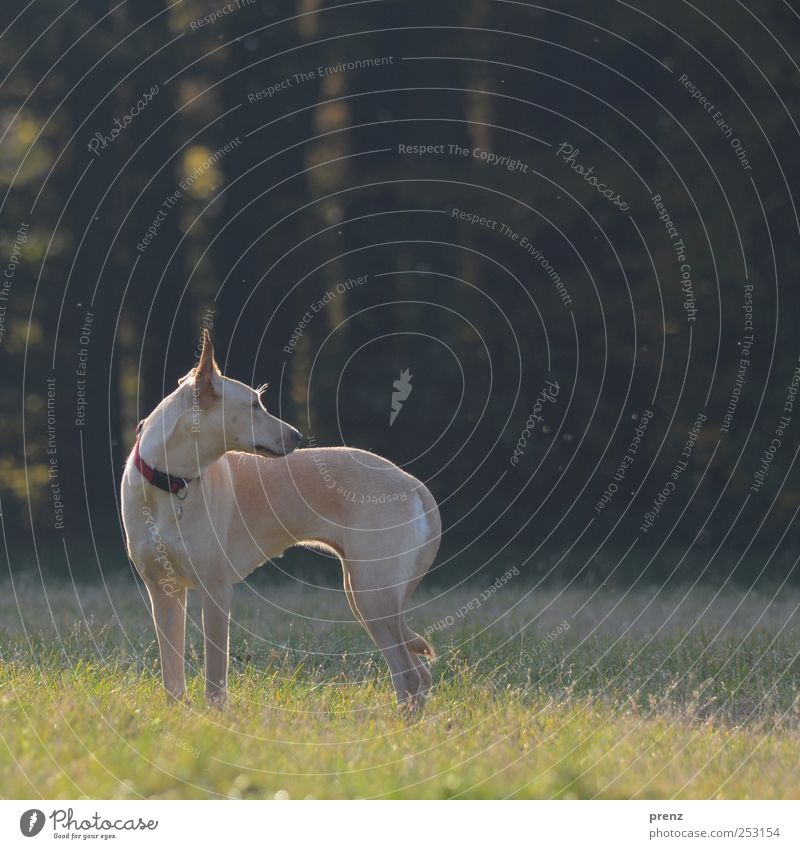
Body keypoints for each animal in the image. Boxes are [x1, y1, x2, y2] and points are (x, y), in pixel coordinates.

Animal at [122, 330, 440, 708]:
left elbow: (215, 677)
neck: (170, 481)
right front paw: (175, 715)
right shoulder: (163, 592)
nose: (298, 436)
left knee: (409, 676)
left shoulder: (216, 591)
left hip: (372, 595)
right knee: (416, 675)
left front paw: (215, 716)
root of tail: (414, 485)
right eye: (255, 405)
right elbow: (173, 678)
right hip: (366, 594)